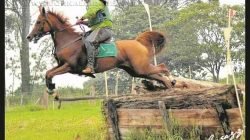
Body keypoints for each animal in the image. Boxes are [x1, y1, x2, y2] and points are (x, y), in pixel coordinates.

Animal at [25, 6, 174, 94]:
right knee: (159, 76)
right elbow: (48, 73)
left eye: (38, 22)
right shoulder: (61, 65)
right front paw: (51, 86)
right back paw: (169, 86)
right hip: (137, 71)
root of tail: (138, 42)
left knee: (163, 67)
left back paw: (172, 80)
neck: (68, 41)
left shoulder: (69, 66)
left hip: (141, 67)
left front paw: (51, 89)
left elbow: (50, 74)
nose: (29, 36)